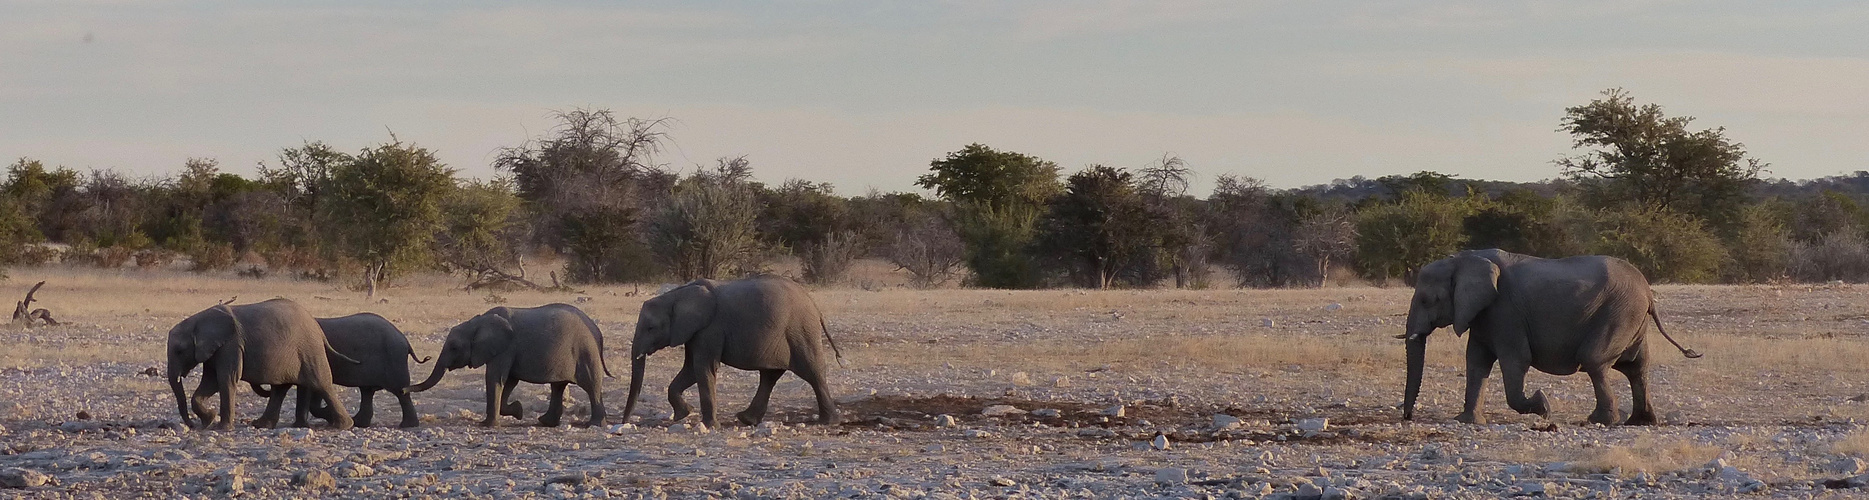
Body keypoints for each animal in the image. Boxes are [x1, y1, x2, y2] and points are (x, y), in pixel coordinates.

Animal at [166, 296, 355, 429]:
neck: (199, 319)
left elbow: (226, 380)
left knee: (321, 383)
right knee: (280, 388)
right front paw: (209, 420)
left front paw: (221, 427)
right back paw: (261, 425)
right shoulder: (215, 350)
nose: (191, 425)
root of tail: (317, 327)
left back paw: (341, 426)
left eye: (180, 351)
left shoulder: (231, 345)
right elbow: (210, 382)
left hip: (310, 349)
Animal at [252, 313, 429, 425]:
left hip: (393, 360)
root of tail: (405, 340)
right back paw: (359, 422)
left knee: (400, 391)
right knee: (367, 391)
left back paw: (407, 425)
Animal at [411, 302, 609, 427]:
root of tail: (597, 330)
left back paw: (594, 424)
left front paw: (487, 425)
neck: (478, 322)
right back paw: (545, 422)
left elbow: (495, 378)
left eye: (454, 347)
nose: (427, 357)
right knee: (558, 386)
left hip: (585, 351)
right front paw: (518, 411)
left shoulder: (505, 348)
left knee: (590, 385)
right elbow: (509, 381)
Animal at [624, 276, 844, 427]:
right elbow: (690, 370)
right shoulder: (694, 332)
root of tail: (815, 306)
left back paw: (829, 422)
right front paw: (684, 414)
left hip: (801, 331)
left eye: (651, 328)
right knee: (770, 376)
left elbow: (703, 368)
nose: (623, 422)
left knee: (812, 373)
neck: (676, 295)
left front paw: (710, 426)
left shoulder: (710, 329)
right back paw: (747, 419)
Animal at [1398, 250, 1704, 425]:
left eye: (1426, 300)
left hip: (1619, 312)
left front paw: (1542, 406)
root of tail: (1649, 292)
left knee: (1595, 361)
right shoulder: (1484, 314)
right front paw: (1466, 421)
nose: (1408, 416)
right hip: (1632, 318)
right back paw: (1640, 423)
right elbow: (1476, 361)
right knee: (1636, 367)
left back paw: (1598, 421)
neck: (1462, 260)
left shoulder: (1505, 310)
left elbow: (1515, 360)